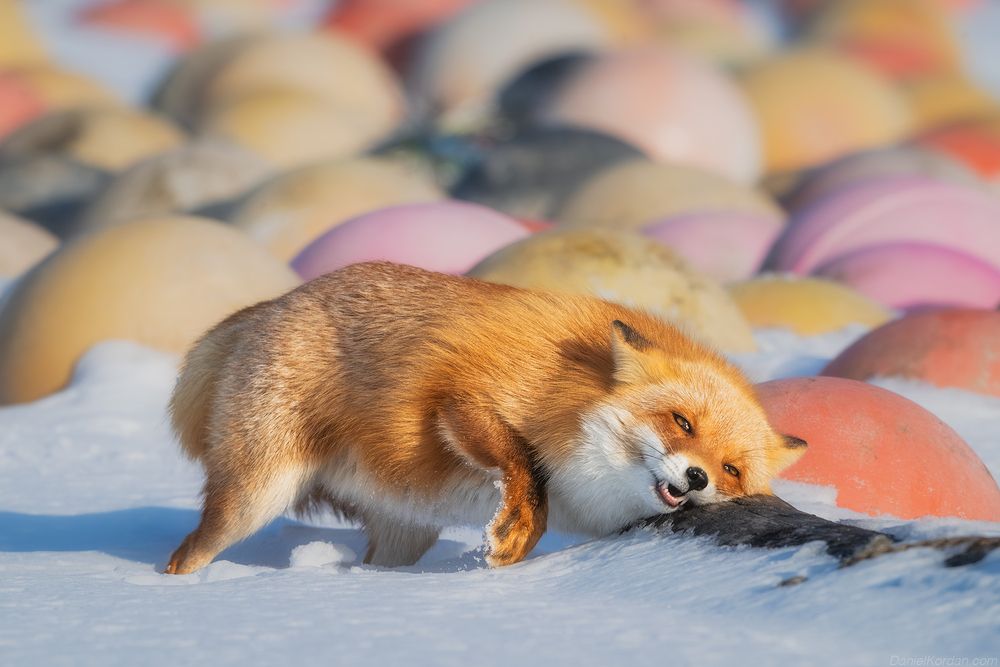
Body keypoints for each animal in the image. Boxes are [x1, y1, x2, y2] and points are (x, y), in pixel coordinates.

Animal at [164, 261, 807, 574]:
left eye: (730, 469)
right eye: (682, 423)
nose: (696, 478)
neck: (569, 383)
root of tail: (274, 304)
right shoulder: (460, 395)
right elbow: (524, 467)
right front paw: (516, 533)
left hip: (407, 533)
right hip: (253, 499)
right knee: (186, 553)